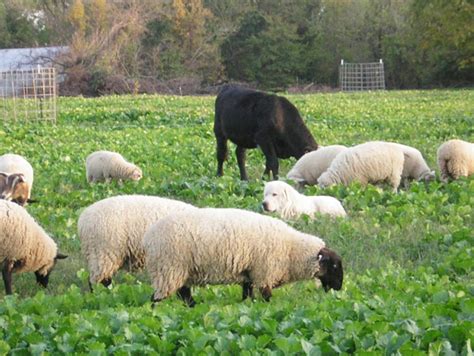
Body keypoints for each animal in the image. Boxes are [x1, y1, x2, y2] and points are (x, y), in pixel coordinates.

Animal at [143, 207, 342, 308]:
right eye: (334, 266)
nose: (339, 288)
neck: (291, 250)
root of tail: (149, 237)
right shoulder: (264, 272)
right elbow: (266, 296)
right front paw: (269, 309)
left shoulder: (250, 272)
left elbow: (248, 293)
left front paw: (247, 307)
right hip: (169, 268)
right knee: (157, 297)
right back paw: (155, 313)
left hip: (180, 270)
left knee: (183, 293)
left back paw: (193, 307)